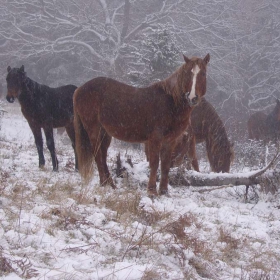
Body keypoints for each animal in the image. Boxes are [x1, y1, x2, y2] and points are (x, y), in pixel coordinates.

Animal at [74, 53, 210, 196]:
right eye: (187, 73)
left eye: (203, 73)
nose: (192, 97)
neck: (171, 102)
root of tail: (79, 89)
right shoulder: (155, 138)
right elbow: (154, 163)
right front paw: (151, 191)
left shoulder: (170, 140)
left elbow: (165, 165)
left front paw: (164, 191)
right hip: (94, 129)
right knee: (97, 155)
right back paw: (106, 184)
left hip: (105, 132)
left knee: (103, 155)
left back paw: (109, 184)